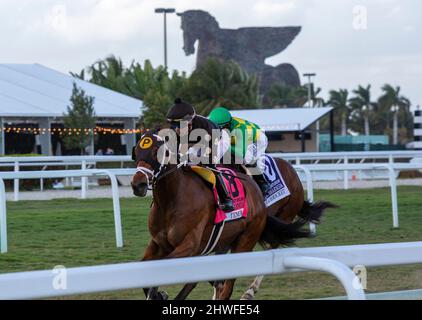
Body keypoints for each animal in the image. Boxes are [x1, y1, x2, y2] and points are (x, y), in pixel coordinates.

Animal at [132, 132, 316, 300]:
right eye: (137, 151)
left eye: (158, 151)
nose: (138, 184)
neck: (171, 200)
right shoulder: (159, 243)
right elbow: (145, 268)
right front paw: (159, 293)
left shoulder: (189, 245)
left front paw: (159, 293)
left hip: (250, 237)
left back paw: (248, 292)